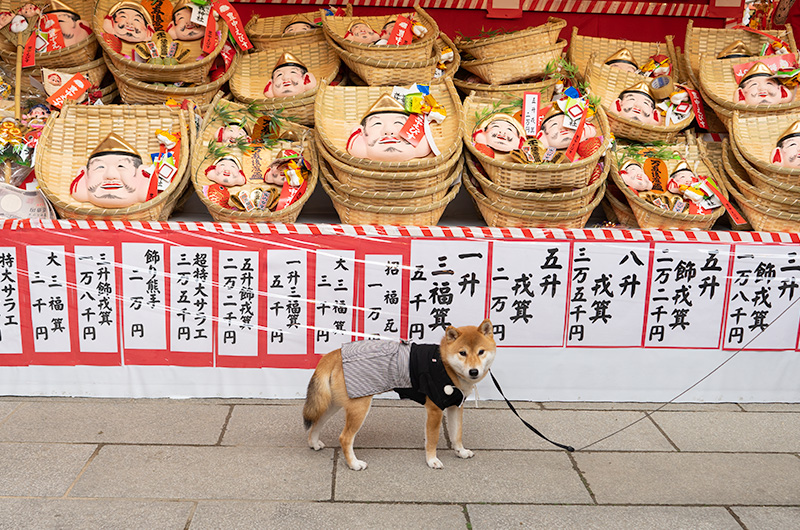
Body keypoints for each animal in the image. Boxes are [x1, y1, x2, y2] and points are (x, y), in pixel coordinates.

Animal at [304, 320, 496, 468]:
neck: (444, 364)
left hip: (334, 403)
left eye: (481, 352)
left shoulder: (455, 406)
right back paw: (354, 464)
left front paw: (460, 451)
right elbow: (432, 439)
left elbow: (457, 434)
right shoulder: (435, 409)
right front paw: (432, 460)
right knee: (344, 438)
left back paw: (313, 443)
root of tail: (335, 354)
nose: (473, 371)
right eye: (462, 353)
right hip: (359, 406)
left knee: (317, 421)